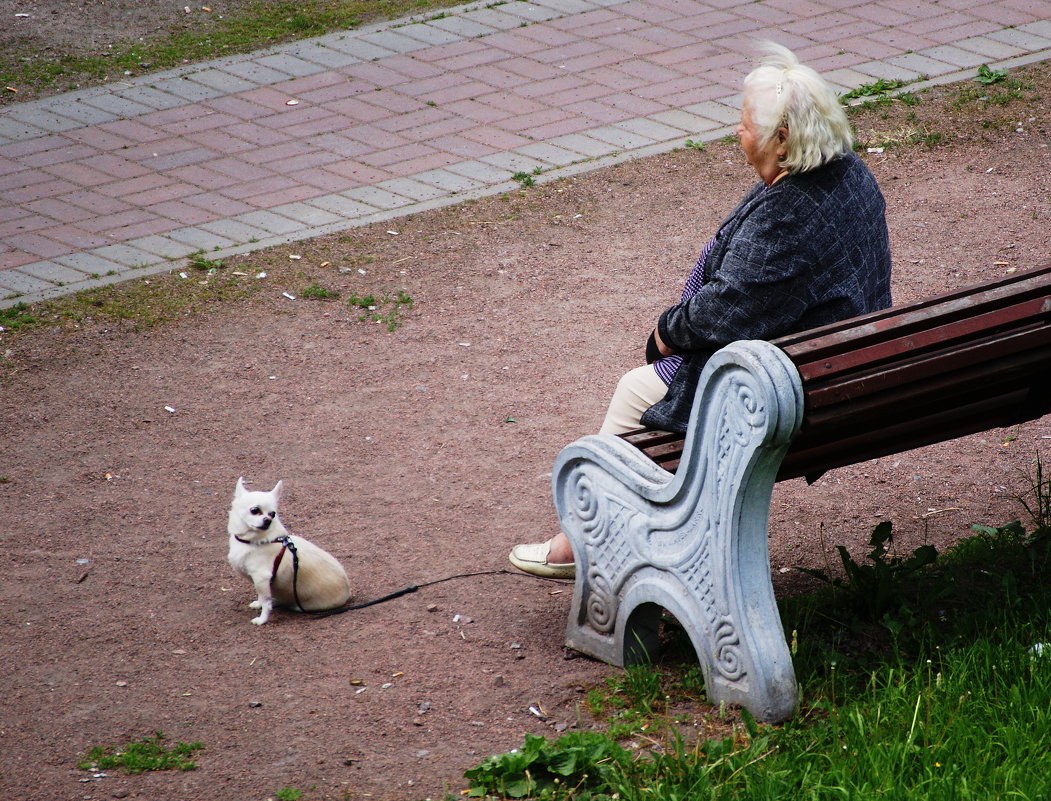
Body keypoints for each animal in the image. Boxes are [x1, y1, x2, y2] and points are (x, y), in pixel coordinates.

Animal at [227, 475, 353, 622]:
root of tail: (348, 592)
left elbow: (265, 602)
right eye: (254, 510)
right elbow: (262, 597)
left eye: (273, 514)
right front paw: (258, 604)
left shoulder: (261, 577)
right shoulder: (260, 582)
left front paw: (262, 620)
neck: (253, 541)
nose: (268, 520)